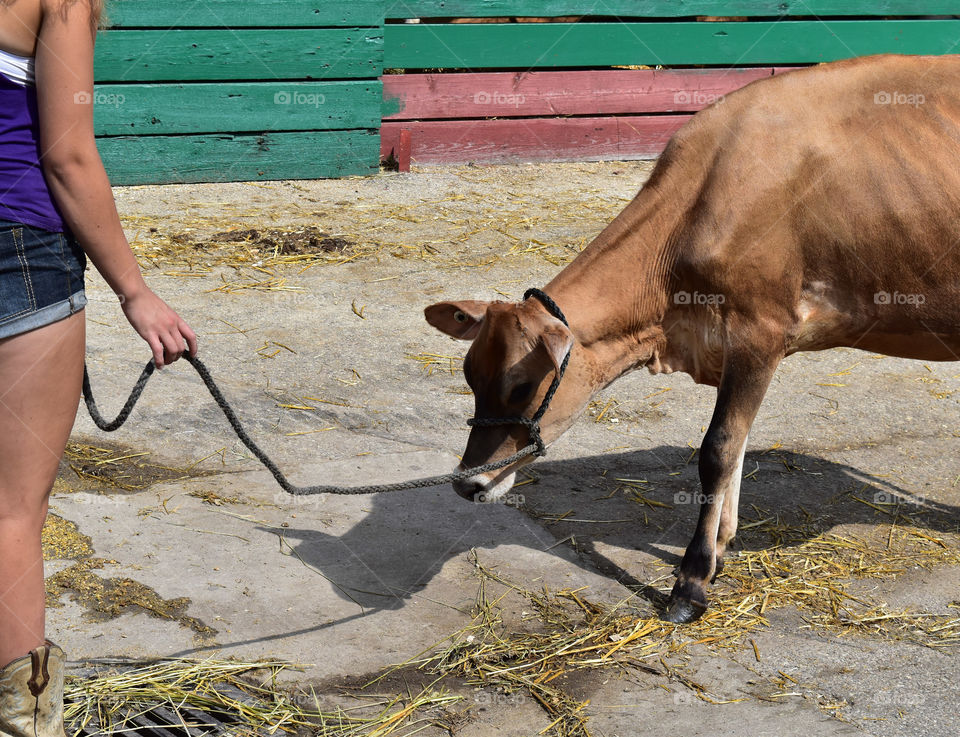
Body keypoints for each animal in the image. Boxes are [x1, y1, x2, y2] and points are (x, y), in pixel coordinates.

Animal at [424, 53, 960, 620]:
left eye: (521, 386)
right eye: (470, 376)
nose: (467, 483)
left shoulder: (759, 330)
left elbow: (718, 450)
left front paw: (692, 581)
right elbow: (738, 447)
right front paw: (721, 550)